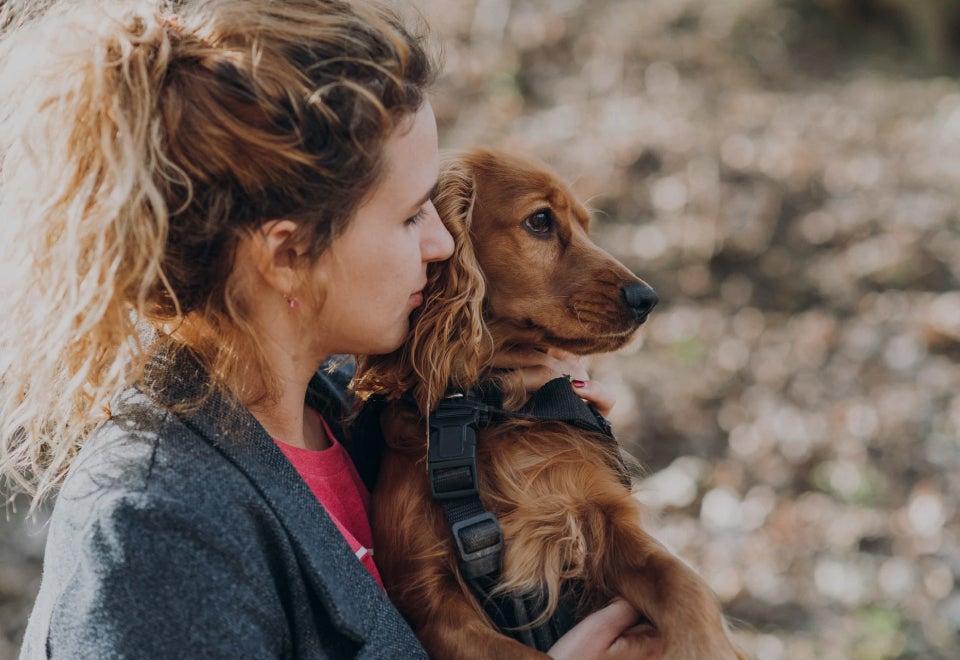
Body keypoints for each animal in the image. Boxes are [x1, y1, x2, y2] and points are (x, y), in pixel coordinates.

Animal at [354, 150, 752, 660]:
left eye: (585, 225)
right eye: (540, 220)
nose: (647, 299)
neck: (492, 408)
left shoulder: (604, 522)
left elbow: (681, 581)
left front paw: (703, 643)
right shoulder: (430, 599)